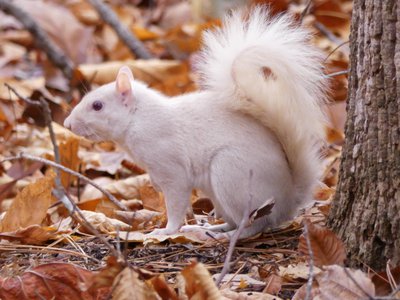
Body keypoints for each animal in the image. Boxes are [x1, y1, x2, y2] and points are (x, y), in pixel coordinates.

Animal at [65, 7, 328, 239]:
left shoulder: (170, 166)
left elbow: (176, 200)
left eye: (97, 106)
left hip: (232, 176)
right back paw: (208, 228)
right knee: (235, 220)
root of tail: (289, 197)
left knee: (254, 225)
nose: (68, 124)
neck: (139, 117)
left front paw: (166, 230)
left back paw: (225, 236)